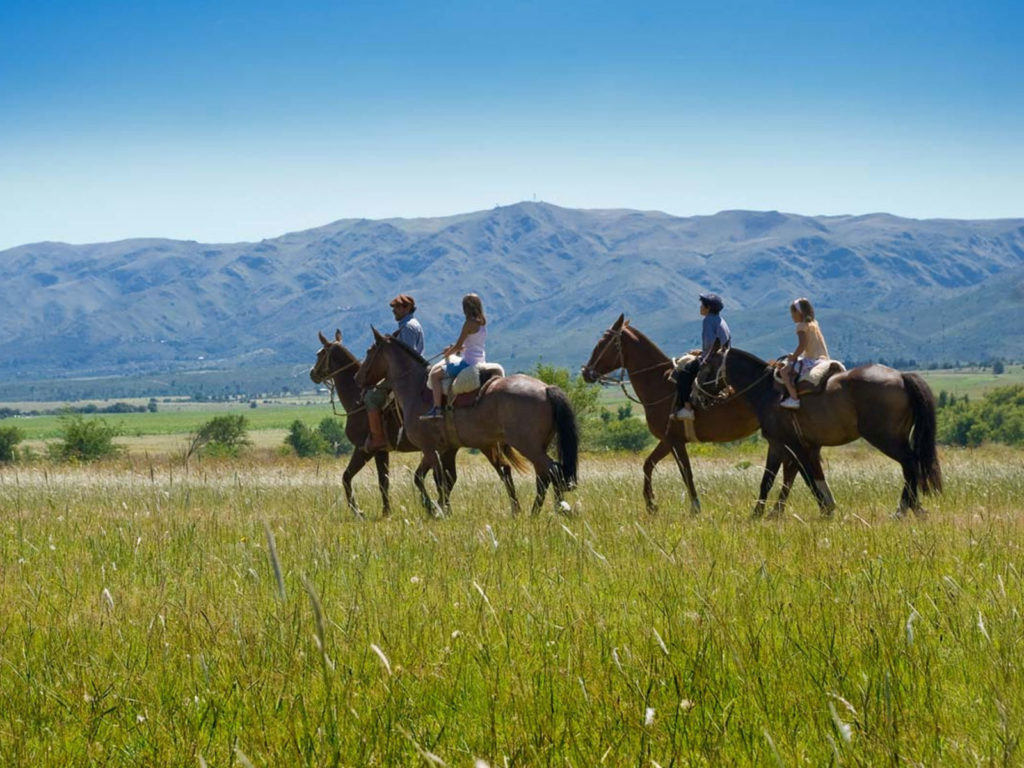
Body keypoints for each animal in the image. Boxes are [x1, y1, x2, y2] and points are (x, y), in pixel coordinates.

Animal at [307, 327, 460, 520]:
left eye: (320, 354)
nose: (312, 373)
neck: (358, 399)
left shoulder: (364, 449)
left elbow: (347, 477)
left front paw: (358, 511)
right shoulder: (381, 451)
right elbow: (383, 481)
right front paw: (386, 511)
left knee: (438, 478)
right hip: (446, 449)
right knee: (447, 478)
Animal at [354, 325, 581, 518]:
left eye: (369, 351)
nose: (357, 378)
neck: (416, 389)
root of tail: (545, 388)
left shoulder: (429, 448)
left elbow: (430, 479)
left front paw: (434, 509)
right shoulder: (445, 449)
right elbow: (439, 479)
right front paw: (441, 509)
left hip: (527, 445)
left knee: (553, 471)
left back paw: (556, 509)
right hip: (535, 446)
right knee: (543, 475)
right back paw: (536, 511)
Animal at [581, 313, 794, 518]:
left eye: (603, 343)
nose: (585, 372)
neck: (659, 383)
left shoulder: (675, 441)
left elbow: (686, 472)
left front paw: (695, 507)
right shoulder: (667, 440)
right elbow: (648, 464)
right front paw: (651, 505)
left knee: (789, 469)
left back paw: (775, 510)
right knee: (790, 469)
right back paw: (777, 510)